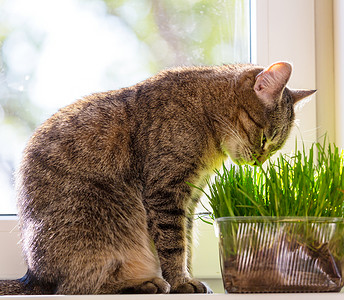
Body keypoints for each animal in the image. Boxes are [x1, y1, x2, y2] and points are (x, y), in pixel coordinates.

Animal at [0, 60, 316, 292]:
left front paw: (186, 276)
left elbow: (185, 239)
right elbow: (173, 244)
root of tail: (34, 276)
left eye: (275, 148)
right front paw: (181, 281)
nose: (258, 162)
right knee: (80, 286)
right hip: (99, 217)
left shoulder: (189, 197)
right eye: (265, 139)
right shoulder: (166, 191)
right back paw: (140, 284)